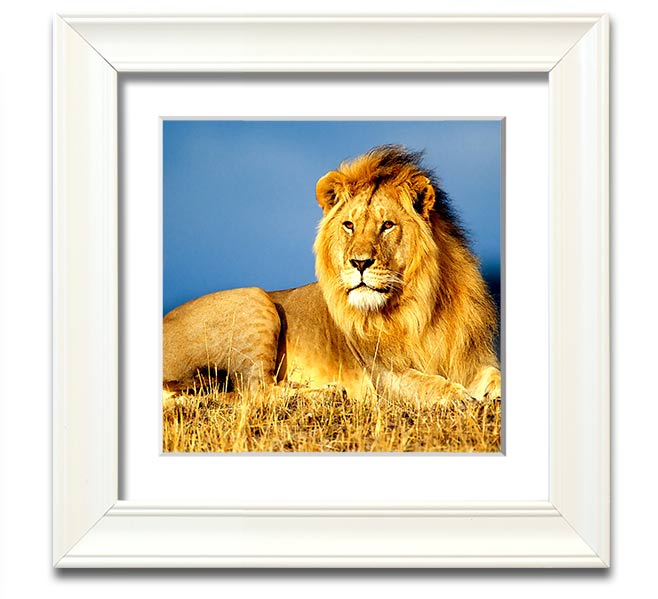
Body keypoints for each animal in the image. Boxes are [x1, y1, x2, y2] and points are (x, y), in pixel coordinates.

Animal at [163, 145, 501, 404]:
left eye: (387, 225)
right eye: (349, 225)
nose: (360, 263)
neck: (421, 306)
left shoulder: (474, 359)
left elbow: (495, 376)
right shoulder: (384, 374)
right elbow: (428, 384)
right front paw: (460, 397)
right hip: (253, 299)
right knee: (255, 391)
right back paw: (328, 392)